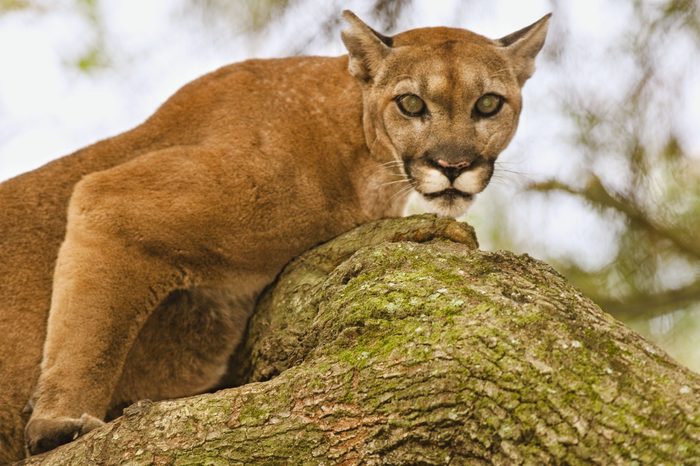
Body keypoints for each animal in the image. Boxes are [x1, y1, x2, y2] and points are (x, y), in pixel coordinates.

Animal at [0, 9, 548, 460]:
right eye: (411, 104)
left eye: (488, 104)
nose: (453, 165)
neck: (363, 150)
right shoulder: (111, 200)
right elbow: (93, 339)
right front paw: (57, 426)